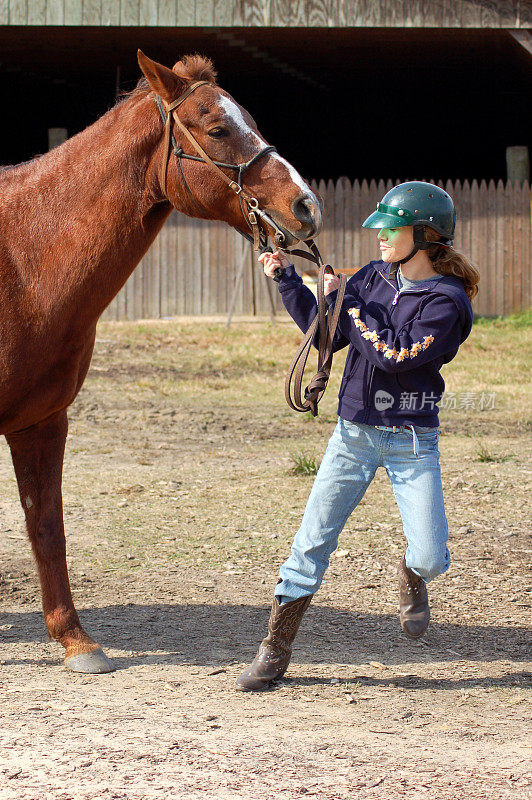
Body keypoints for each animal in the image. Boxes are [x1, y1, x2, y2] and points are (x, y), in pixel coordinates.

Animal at [0, 51, 320, 676]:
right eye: (217, 128)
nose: (305, 206)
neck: (22, 257)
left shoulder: (42, 422)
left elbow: (46, 524)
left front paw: (76, 641)